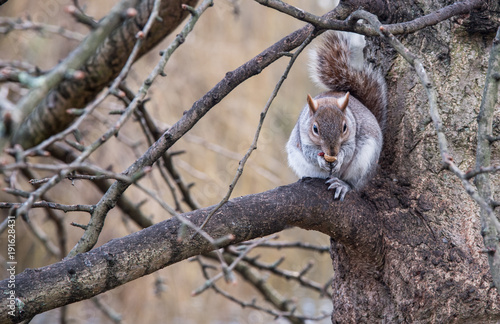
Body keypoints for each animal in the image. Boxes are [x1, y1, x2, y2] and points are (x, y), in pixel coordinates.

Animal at [286, 31, 386, 201]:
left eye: (344, 127)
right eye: (315, 129)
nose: (332, 153)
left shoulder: (352, 136)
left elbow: (349, 150)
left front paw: (339, 159)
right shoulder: (303, 137)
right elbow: (309, 152)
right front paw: (320, 159)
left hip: (365, 162)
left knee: (355, 184)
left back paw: (343, 185)